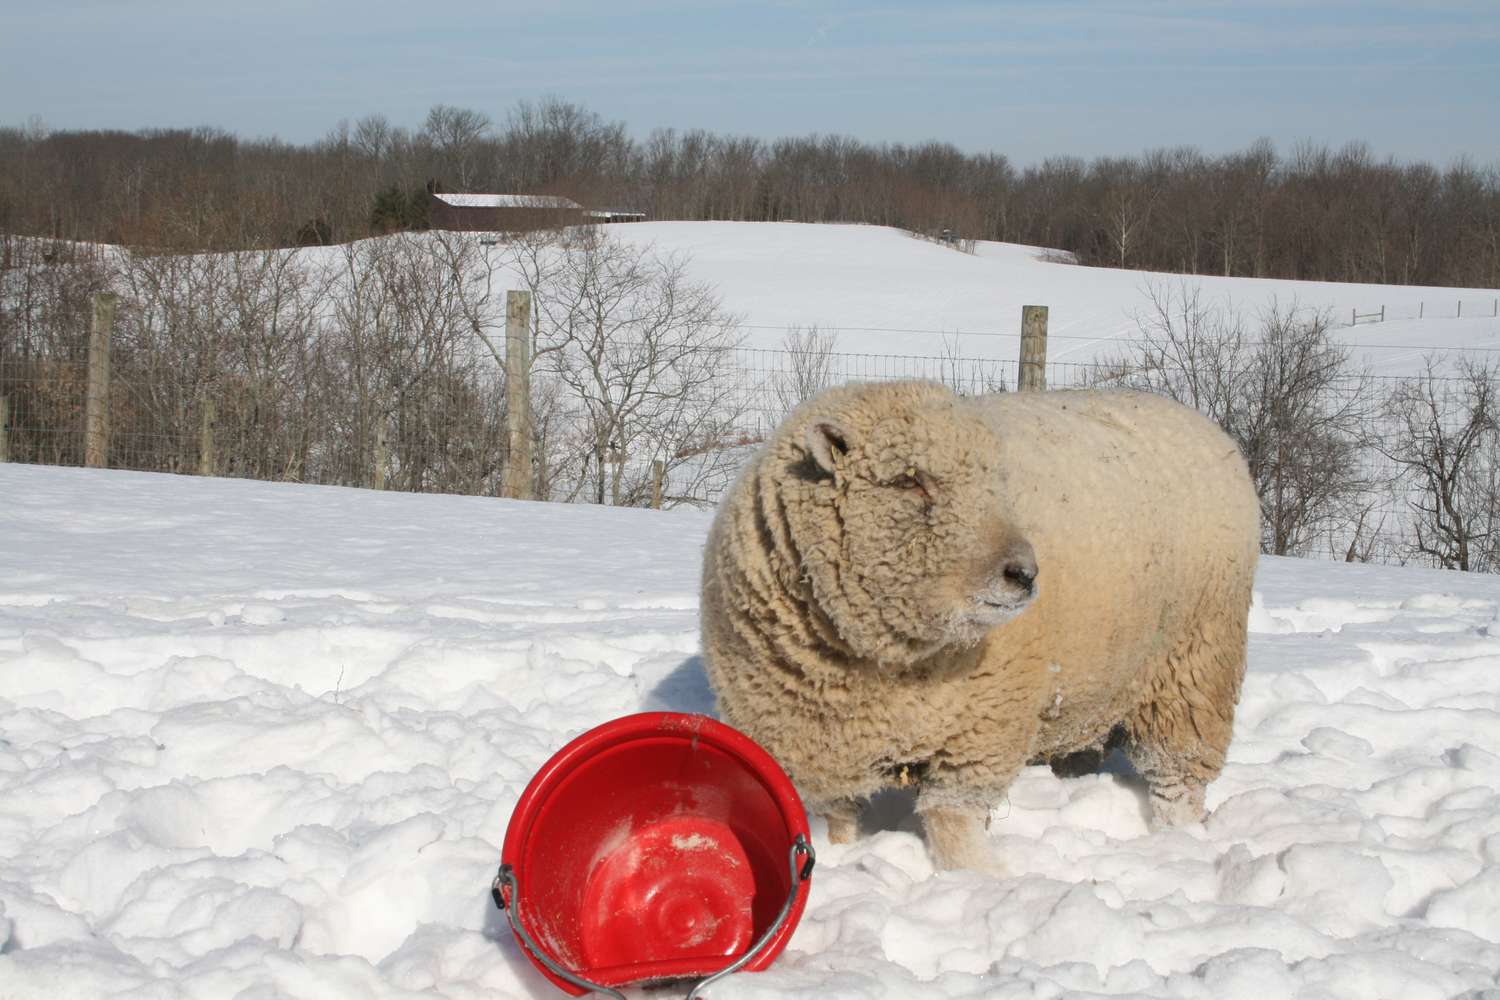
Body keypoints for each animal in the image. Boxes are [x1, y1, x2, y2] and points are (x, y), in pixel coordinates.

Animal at [696, 379, 1260, 869]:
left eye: (996, 483)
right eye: (908, 480)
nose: (1024, 575)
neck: (873, 669)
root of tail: (1194, 418)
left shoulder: (982, 730)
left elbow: (952, 821)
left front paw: (975, 877)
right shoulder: (820, 746)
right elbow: (837, 819)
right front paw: (840, 855)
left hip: (1194, 661)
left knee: (1178, 777)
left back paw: (1176, 841)